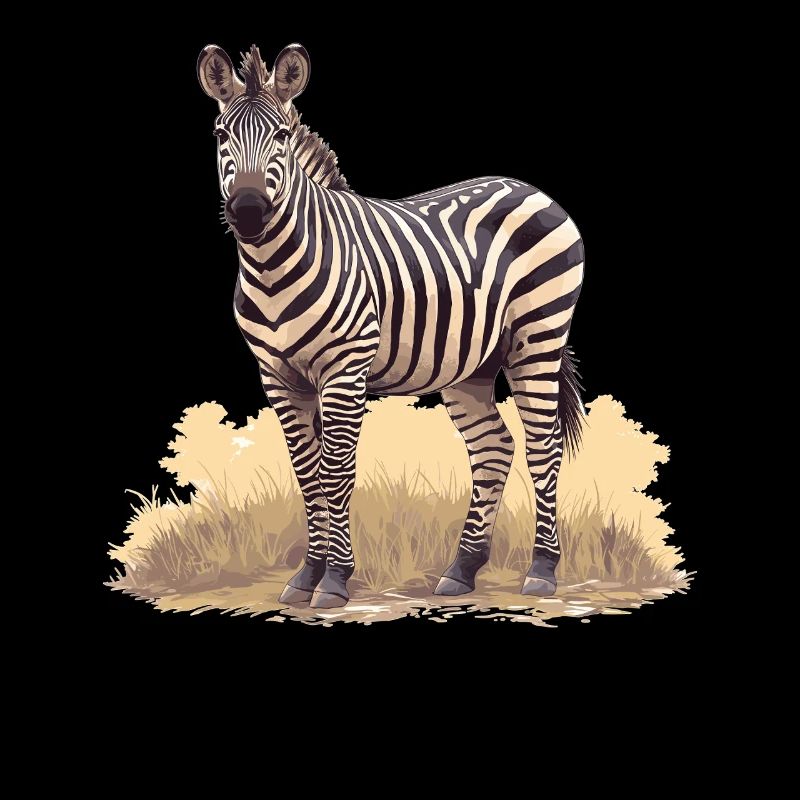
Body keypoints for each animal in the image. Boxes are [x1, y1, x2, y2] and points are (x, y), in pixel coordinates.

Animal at [197, 43, 585, 609]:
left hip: (538, 337)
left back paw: (542, 570)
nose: (248, 211)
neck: (272, 268)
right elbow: (306, 473)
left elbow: (336, 469)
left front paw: (335, 581)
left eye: (283, 136)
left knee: (543, 445)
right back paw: (461, 570)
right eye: (221, 134)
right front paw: (306, 575)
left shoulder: (345, 367)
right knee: (494, 448)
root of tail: (531, 189)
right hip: (470, 365)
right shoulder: (278, 377)